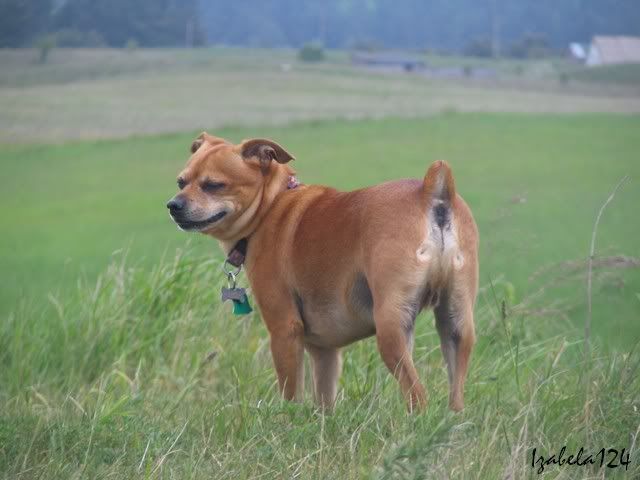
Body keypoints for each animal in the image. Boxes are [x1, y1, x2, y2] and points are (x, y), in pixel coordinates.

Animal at [167, 132, 478, 412]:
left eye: (213, 185)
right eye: (181, 182)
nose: (173, 205)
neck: (272, 204)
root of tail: (429, 192)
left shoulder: (284, 330)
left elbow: (291, 393)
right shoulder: (324, 351)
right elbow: (325, 400)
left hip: (391, 329)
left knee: (417, 395)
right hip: (455, 322)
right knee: (455, 395)